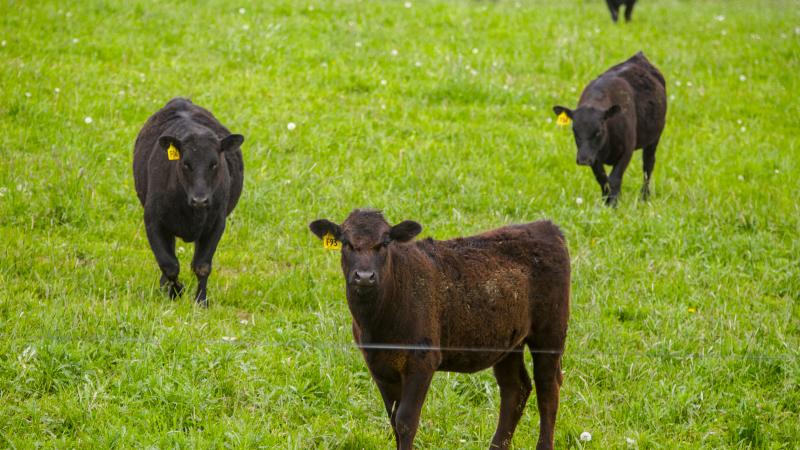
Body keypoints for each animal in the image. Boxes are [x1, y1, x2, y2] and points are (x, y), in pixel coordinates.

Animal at [133, 97, 244, 308]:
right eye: (185, 163)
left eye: (214, 164)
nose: (200, 200)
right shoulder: (153, 220)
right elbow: (169, 265)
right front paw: (176, 293)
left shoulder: (217, 223)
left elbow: (202, 266)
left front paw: (201, 301)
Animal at [310, 210, 572, 450]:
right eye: (346, 242)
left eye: (384, 242)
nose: (364, 277)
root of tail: (546, 227)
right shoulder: (378, 364)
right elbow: (393, 419)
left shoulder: (423, 360)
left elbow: (406, 421)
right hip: (507, 340)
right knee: (515, 389)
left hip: (551, 331)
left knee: (547, 389)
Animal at [552, 52, 664, 206]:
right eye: (574, 130)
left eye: (598, 131)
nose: (583, 160)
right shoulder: (594, 156)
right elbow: (603, 179)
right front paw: (607, 203)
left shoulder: (627, 150)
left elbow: (614, 178)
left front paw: (613, 205)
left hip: (654, 138)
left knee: (648, 166)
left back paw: (644, 197)